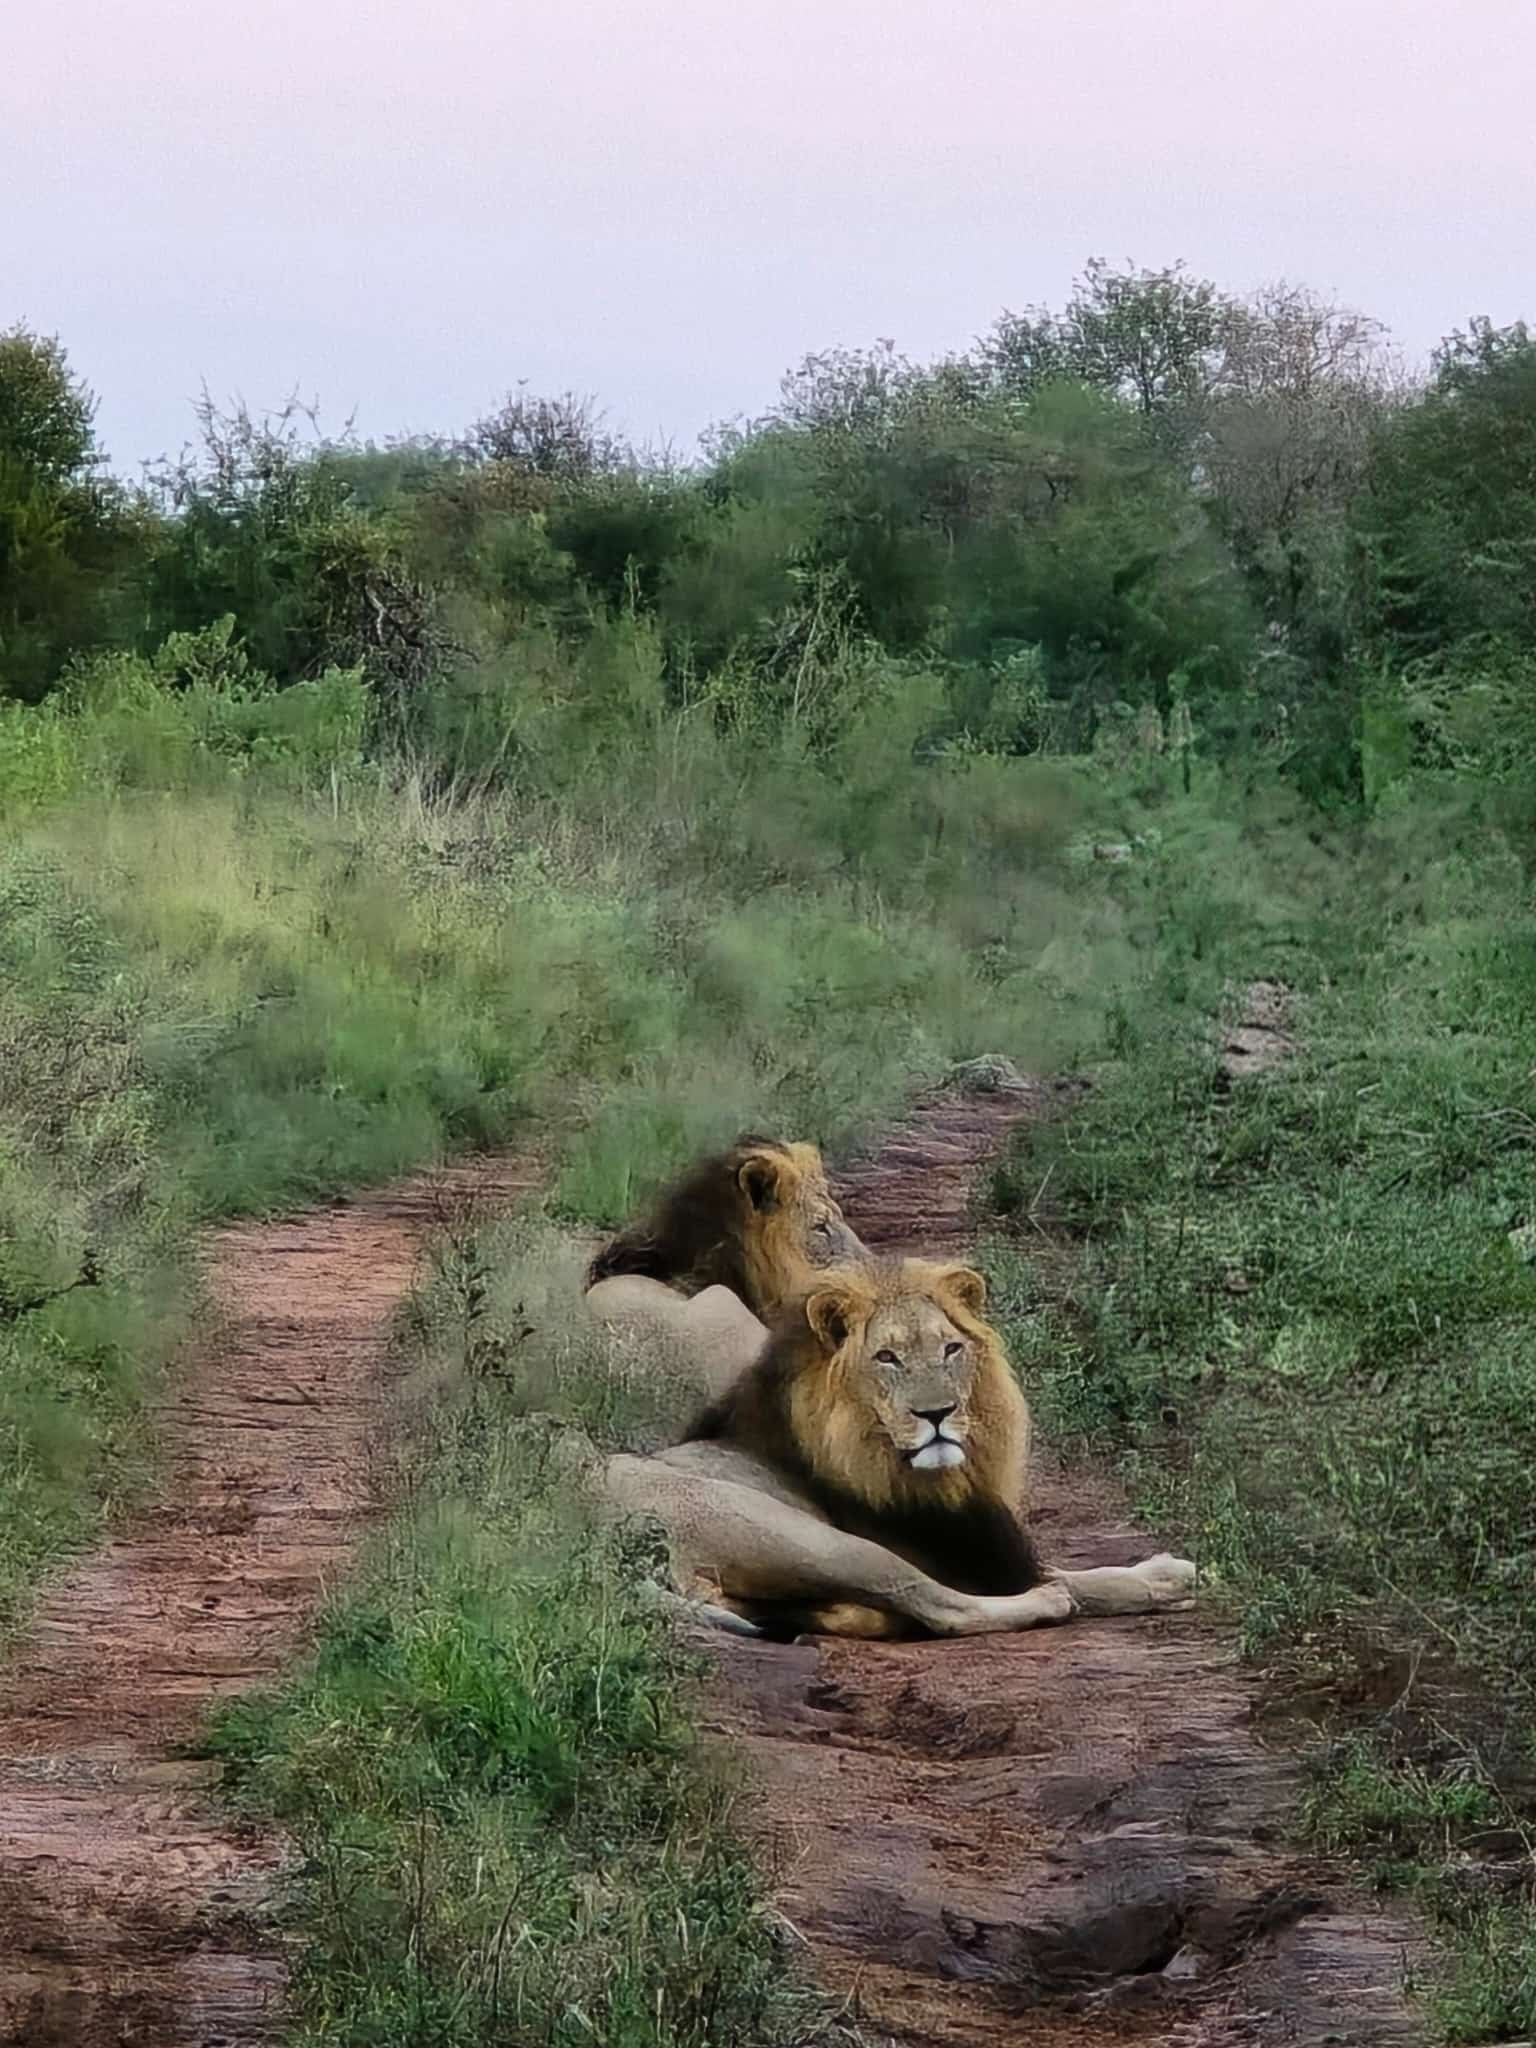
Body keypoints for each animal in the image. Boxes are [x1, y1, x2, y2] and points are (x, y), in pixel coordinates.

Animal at [601, 1255, 1196, 1639]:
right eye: (886, 1358)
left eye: (951, 1349)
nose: (936, 1415)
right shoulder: (977, 1560)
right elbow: (1090, 1579)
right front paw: (1167, 1574)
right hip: (805, 1537)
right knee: (940, 1606)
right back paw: (1046, 1603)